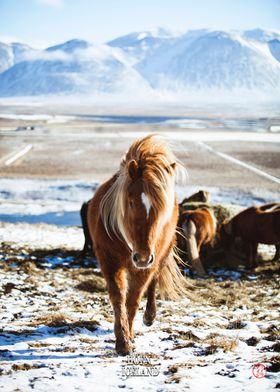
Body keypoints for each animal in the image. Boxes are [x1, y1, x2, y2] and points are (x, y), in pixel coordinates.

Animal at [87, 135, 188, 356]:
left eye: (161, 208)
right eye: (131, 202)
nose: (142, 257)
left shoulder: (145, 266)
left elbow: (133, 300)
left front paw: (129, 337)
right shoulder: (109, 261)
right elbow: (118, 298)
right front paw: (122, 341)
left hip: (160, 256)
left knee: (154, 281)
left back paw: (150, 317)